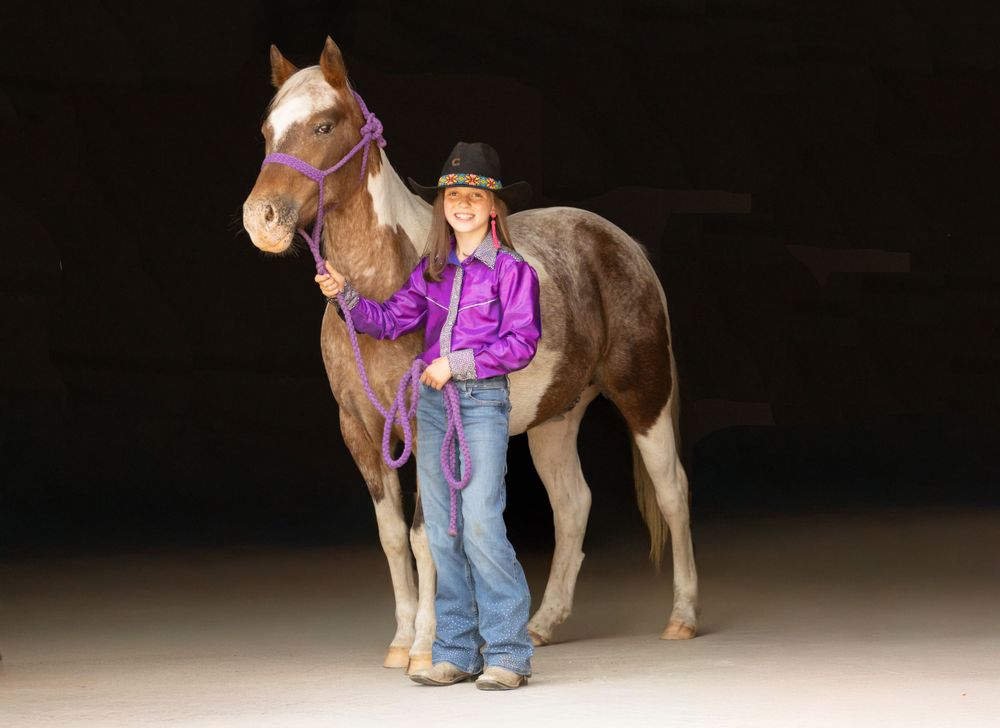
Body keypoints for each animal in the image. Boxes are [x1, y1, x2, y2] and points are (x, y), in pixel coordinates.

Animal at [242, 37, 698, 674]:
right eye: (267, 129)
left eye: (324, 125)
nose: (260, 219)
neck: (389, 280)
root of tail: (623, 245)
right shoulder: (360, 430)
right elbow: (391, 535)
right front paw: (402, 639)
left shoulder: (424, 423)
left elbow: (424, 534)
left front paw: (426, 647)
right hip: (554, 419)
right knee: (573, 506)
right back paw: (541, 625)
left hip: (645, 396)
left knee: (672, 491)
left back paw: (682, 617)